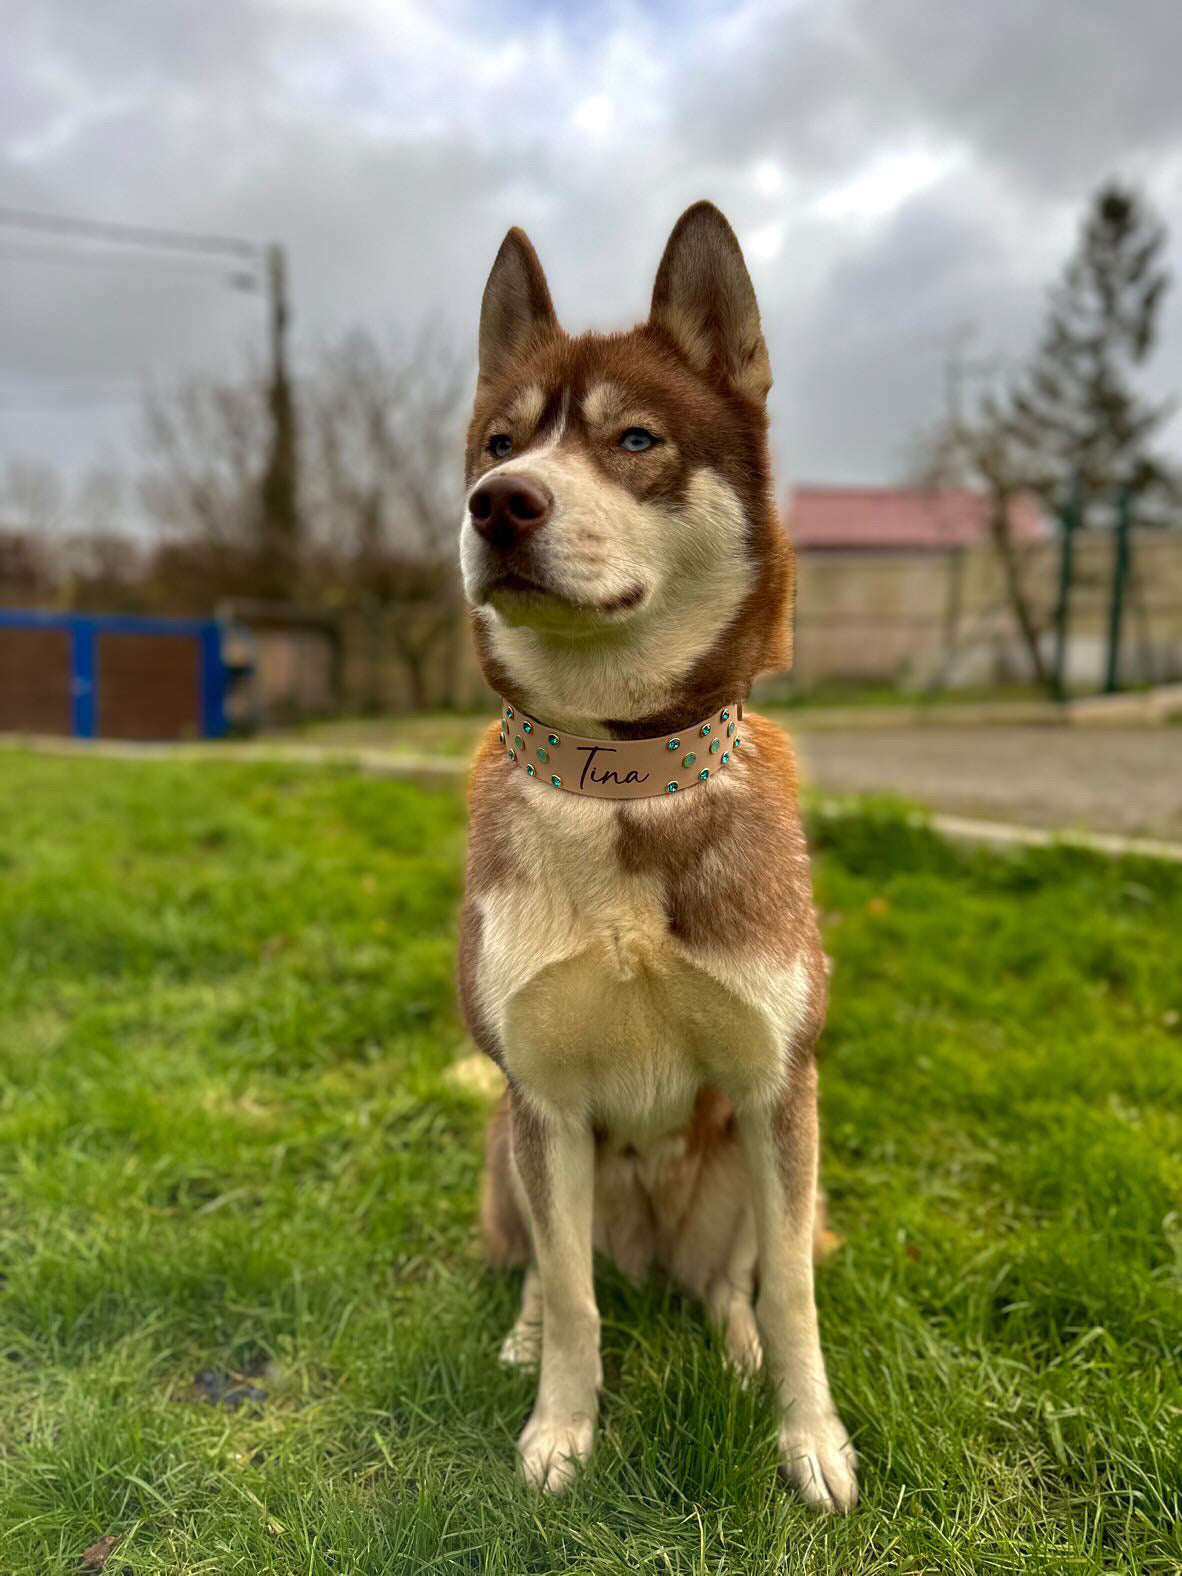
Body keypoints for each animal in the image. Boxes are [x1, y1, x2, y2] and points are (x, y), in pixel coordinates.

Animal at [457, 203, 857, 1506]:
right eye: (498, 443)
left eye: (634, 438)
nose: (499, 503)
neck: (620, 778)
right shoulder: (543, 1099)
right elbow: (577, 1300)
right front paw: (559, 1430)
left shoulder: (778, 1087)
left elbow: (793, 1294)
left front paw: (812, 1442)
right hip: (508, 1147)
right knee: (558, 1269)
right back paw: (527, 1330)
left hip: (745, 1162)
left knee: (732, 1280)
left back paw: (729, 1343)